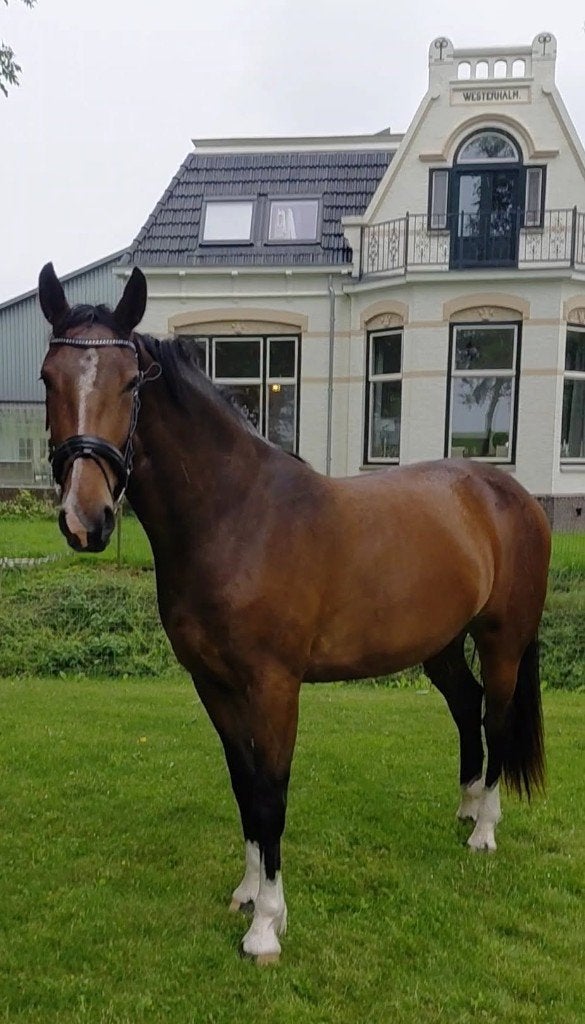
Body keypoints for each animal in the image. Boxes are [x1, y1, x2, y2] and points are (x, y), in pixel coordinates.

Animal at [38, 262, 551, 963]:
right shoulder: (214, 685)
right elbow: (243, 785)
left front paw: (266, 927)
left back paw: (485, 832)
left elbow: (271, 791)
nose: (85, 519)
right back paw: (468, 809)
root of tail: (509, 493)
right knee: (466, 706)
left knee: (495, 719)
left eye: (130, 382)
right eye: (48, 378)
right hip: (440, 645)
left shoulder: (275, 686)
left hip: (503, 640)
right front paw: (248, 893)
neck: (237, 516)